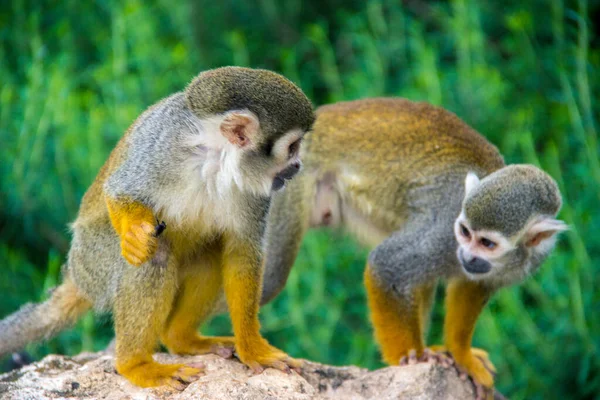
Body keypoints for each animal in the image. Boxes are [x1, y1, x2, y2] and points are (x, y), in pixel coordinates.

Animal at [0, 67, 316, 390]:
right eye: (292, 147)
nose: (297, 166)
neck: (216, 157)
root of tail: (77, 276)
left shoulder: (256, 191)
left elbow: (243, 254)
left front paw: (253, 348)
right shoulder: (160, 147)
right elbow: (119, 191)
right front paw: (133, 237)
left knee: (210, 255)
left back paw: (181, 339)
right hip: (93, 260)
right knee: (154, 256)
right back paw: (135, 364)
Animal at [260, 98, 564, 392]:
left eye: (487, 243)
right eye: (464, 232)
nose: (467, 256)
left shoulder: (524, 260)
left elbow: (472, 286)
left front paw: (461, 354)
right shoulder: (443, 232)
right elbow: (385, 266)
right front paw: (408, 359)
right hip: (287, 182)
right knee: (272, 279)